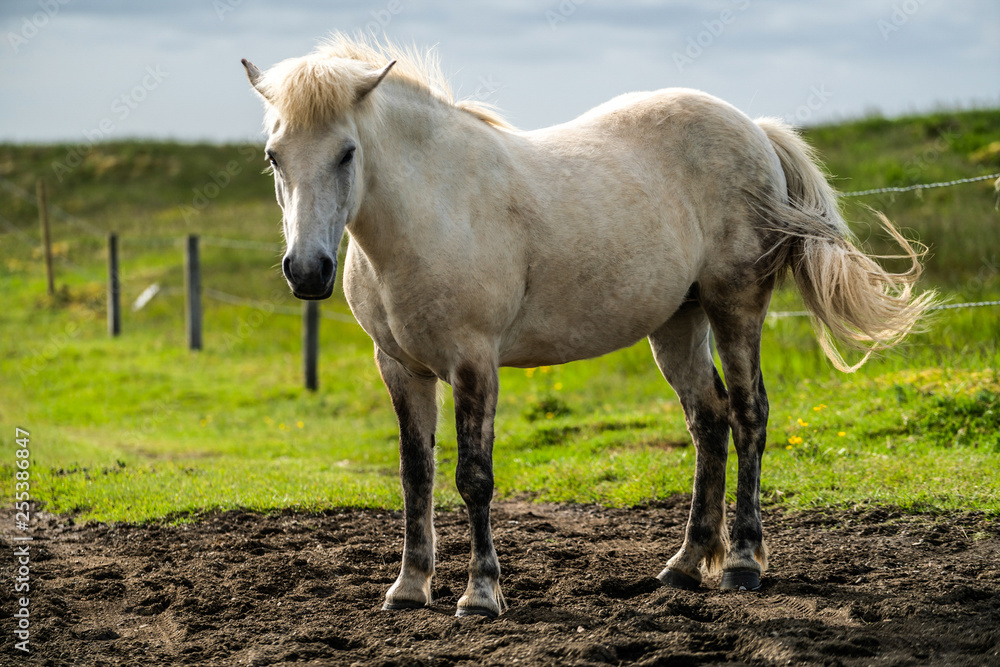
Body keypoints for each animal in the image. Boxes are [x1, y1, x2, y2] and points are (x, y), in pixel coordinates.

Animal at [240, 36, 928, 620]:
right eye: (274, 156)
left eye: (347, 152)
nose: (307, 271)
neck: (432, 210)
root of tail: (754, 129)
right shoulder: (401, 368)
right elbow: (416, 475)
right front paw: (409, 588)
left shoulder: (473, 363)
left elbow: (473, 477)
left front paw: (480, 595)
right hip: (677, 323)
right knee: (709, 421)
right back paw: (683, 567)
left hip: (735, 309)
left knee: (749, 415)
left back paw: (740, 565)